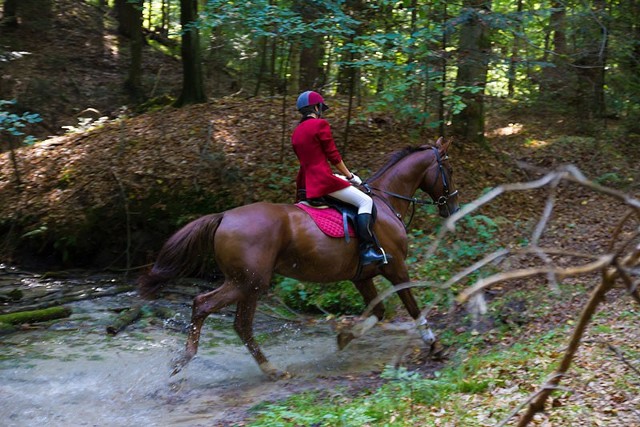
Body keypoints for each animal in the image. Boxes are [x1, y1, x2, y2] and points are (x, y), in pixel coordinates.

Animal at [140, 137, 460, 378]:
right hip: (248, 283)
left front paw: (345, 337)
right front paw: (434, 345)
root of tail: (224, 217)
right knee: (206, 306)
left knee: (238, 324)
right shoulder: (396, 268)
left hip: (248, 284)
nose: (453, 208)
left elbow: (378, 311)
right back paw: (194, 360)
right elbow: (413, 306)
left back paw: (263, 368)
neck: (385, 200)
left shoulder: (362, 276)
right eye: (449, 168)